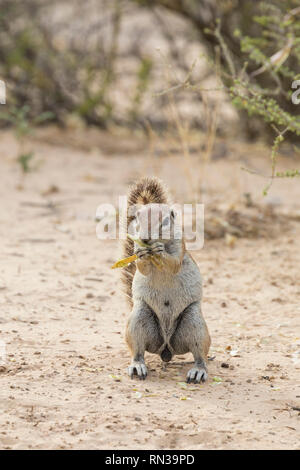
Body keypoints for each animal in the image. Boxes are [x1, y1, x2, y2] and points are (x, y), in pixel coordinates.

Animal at [122, 176, 211, 382]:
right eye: (137, 219)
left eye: (164, 221)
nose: (145, 239)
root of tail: (166, 349)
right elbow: (142, 268)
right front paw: (142, 254)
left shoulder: (179, 246)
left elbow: (174, 263)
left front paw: (161, 251)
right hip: (140, 318)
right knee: (137, 351)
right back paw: (138, 366)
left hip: (194, 322)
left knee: (200, 354)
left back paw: (198, 371)